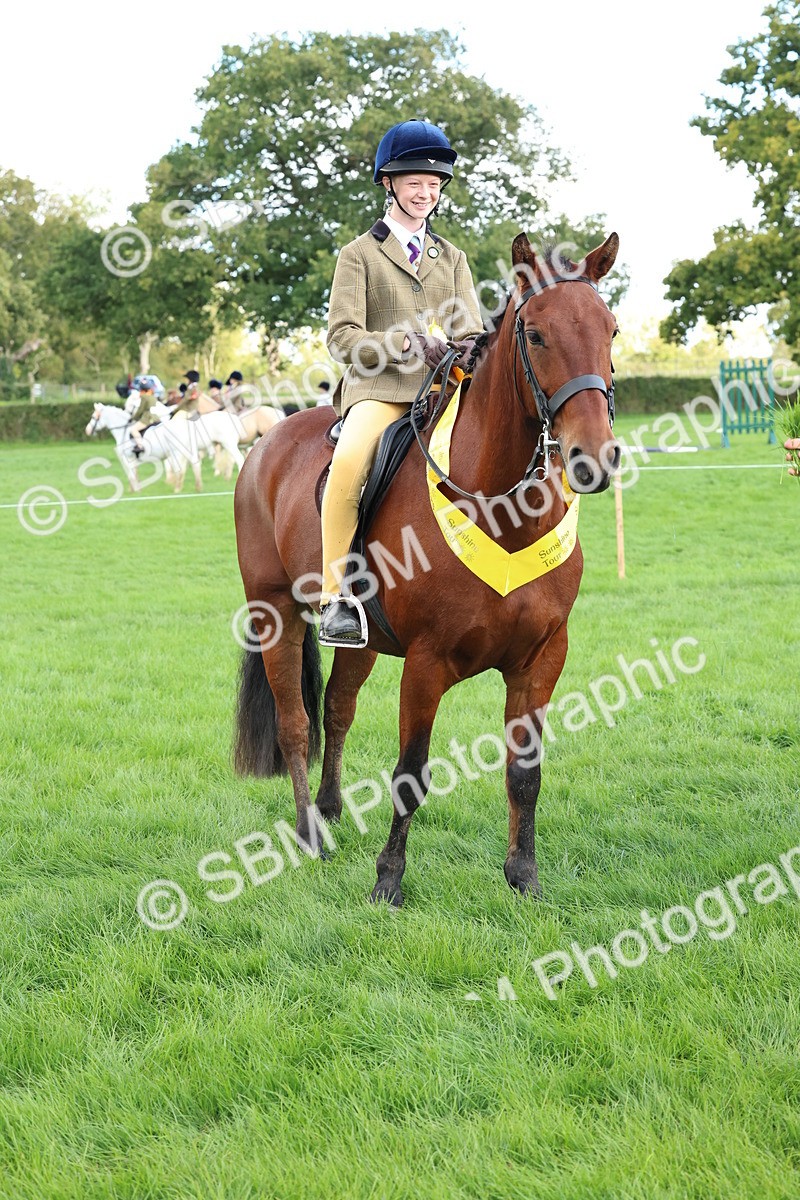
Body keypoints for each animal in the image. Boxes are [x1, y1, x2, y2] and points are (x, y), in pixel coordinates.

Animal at [232, 232, 622, 907]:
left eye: (612, 330)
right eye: (537, 334)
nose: (591, 457)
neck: (498, 507)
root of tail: (266, 441)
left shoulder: (541, 661)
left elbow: (525, 772)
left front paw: (523, 876)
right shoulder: (426, 663)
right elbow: (410, 773)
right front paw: (388, 879)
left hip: (360, 638)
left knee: (337, 707)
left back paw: (331, 809)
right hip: (274, 612)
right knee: (295, 724)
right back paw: (309, 833)